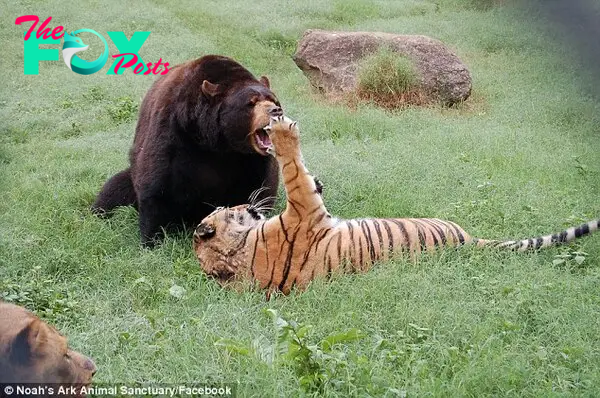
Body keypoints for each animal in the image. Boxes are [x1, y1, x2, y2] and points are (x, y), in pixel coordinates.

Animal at [92, 53, 284, 246]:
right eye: (251, 102)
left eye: (273, 100)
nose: (276, 110)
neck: (215, 141)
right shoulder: (172, 131)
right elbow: (156, 184)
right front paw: (152, 239)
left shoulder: (249, 158)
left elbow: (254, 187)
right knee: (113, 190)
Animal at [195, 115, 596, 296]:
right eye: (230, 209)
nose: (244, 203)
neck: (242, 253)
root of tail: (468, 240)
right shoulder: (303, 208)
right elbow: (294, 170)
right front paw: (281, 131)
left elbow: (304, 176)